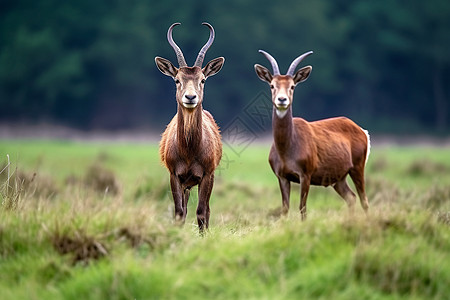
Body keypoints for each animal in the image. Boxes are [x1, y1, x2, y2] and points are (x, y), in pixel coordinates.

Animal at [156, 22, 224, 231]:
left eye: (203, 79)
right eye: (177, 79)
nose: (190, 97)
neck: (188, 151)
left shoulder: (207, 174)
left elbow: (201, 212)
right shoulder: (174, 175)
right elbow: (179, 213)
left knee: (207, 210)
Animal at [255, 50, 370, 219]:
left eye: (292, 86)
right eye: (272, 85)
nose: (282, 100)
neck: (286, 151)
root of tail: (363, 131)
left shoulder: (306, 173)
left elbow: (302, 207)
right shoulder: (281, 175)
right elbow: (285, 208)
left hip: (358, 165)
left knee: (364, 200)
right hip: (338, 177)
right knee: (351, 197)